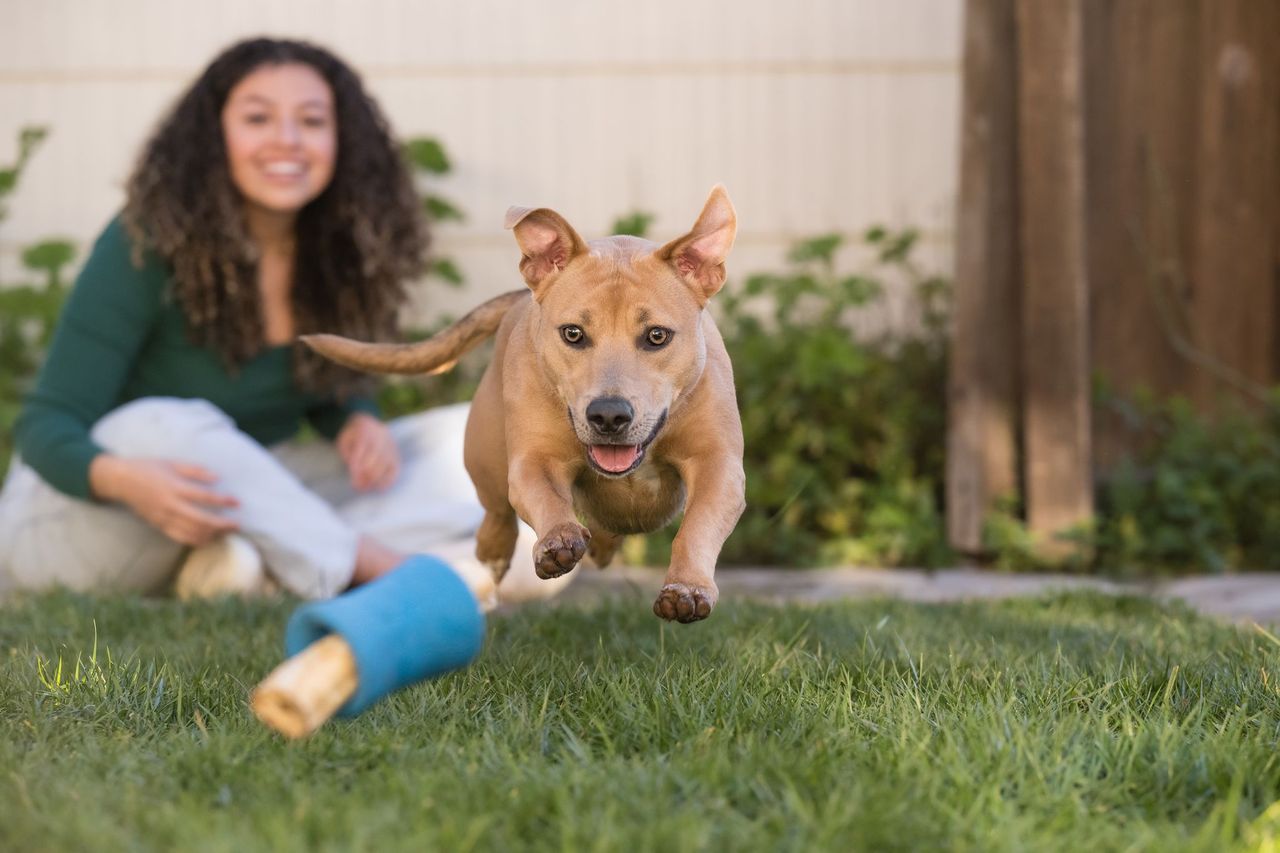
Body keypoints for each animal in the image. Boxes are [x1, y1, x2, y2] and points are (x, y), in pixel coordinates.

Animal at [305, 185, 747, 622]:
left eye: (657, 336)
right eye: (573, 333)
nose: (608, 415)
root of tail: (521, 295)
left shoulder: (718, 466)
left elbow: (698, 526)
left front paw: (686, 587)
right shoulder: (534, 459)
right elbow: (546, 496)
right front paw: (557, 540)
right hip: (486, 456)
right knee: (497, 517)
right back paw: (495, 556)